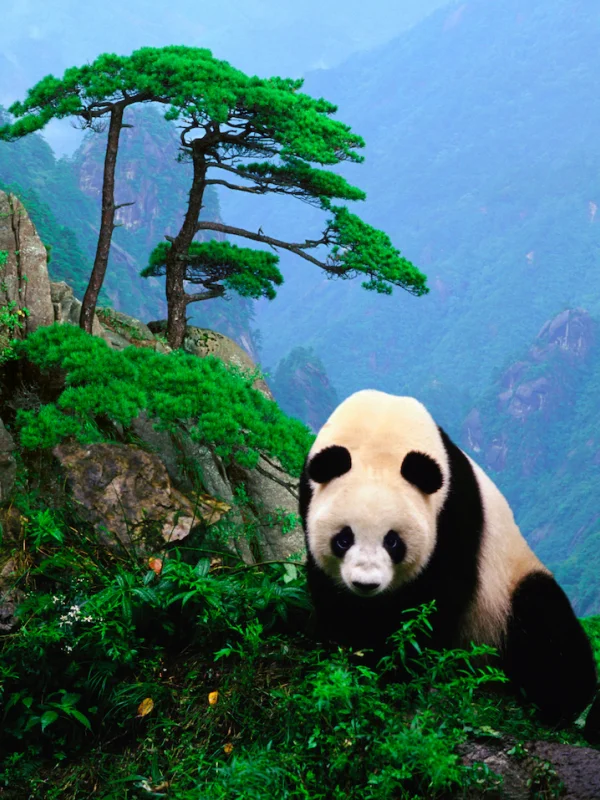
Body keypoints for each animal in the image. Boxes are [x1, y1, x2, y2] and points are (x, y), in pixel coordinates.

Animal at [299, 389, 600, 740]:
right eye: (343, 539)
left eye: (393, 541)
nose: (366, 584)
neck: (381, 425)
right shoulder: (308, 493)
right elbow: (328, 589)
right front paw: (344, 645)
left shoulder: (454, 515)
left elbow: (436, 600)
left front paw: (395, 663)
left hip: (505, 597)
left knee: (545, 626)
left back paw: (559, 704)